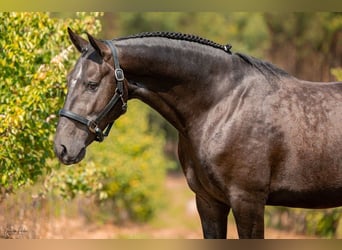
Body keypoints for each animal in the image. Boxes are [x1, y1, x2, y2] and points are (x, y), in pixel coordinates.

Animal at [54, 28, 342, 239]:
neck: (222, 104)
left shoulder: (248, 202)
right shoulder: (208, 202)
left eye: (92, 85)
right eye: (68, 81)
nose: (62, 147)